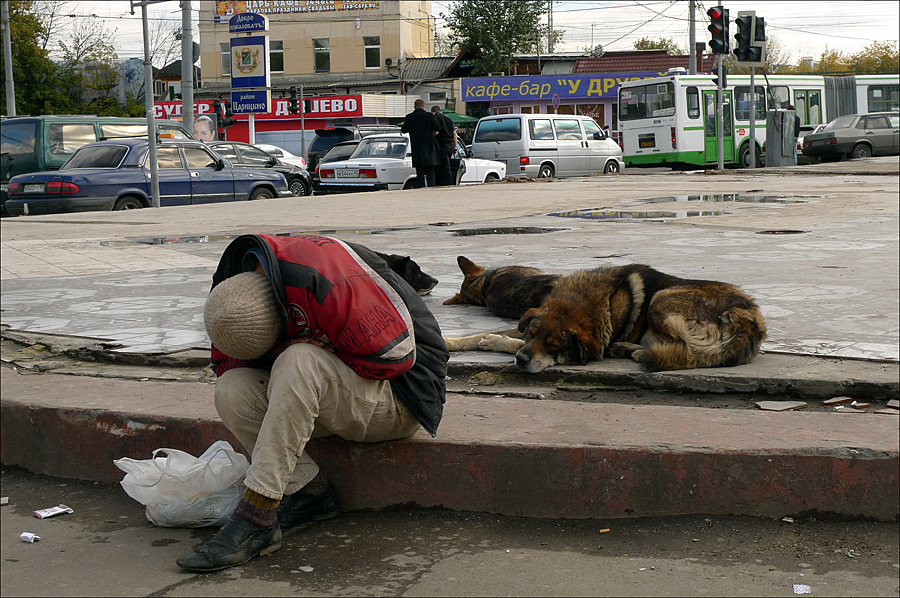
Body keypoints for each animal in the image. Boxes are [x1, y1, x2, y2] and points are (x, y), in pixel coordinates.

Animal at [512, 264, 768, 372]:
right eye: (531, 334)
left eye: (553, 346)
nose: (521, 360)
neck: (580, 301)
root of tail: (751, 324)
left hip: (660, 299)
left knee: (685, 351)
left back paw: (634, 351)